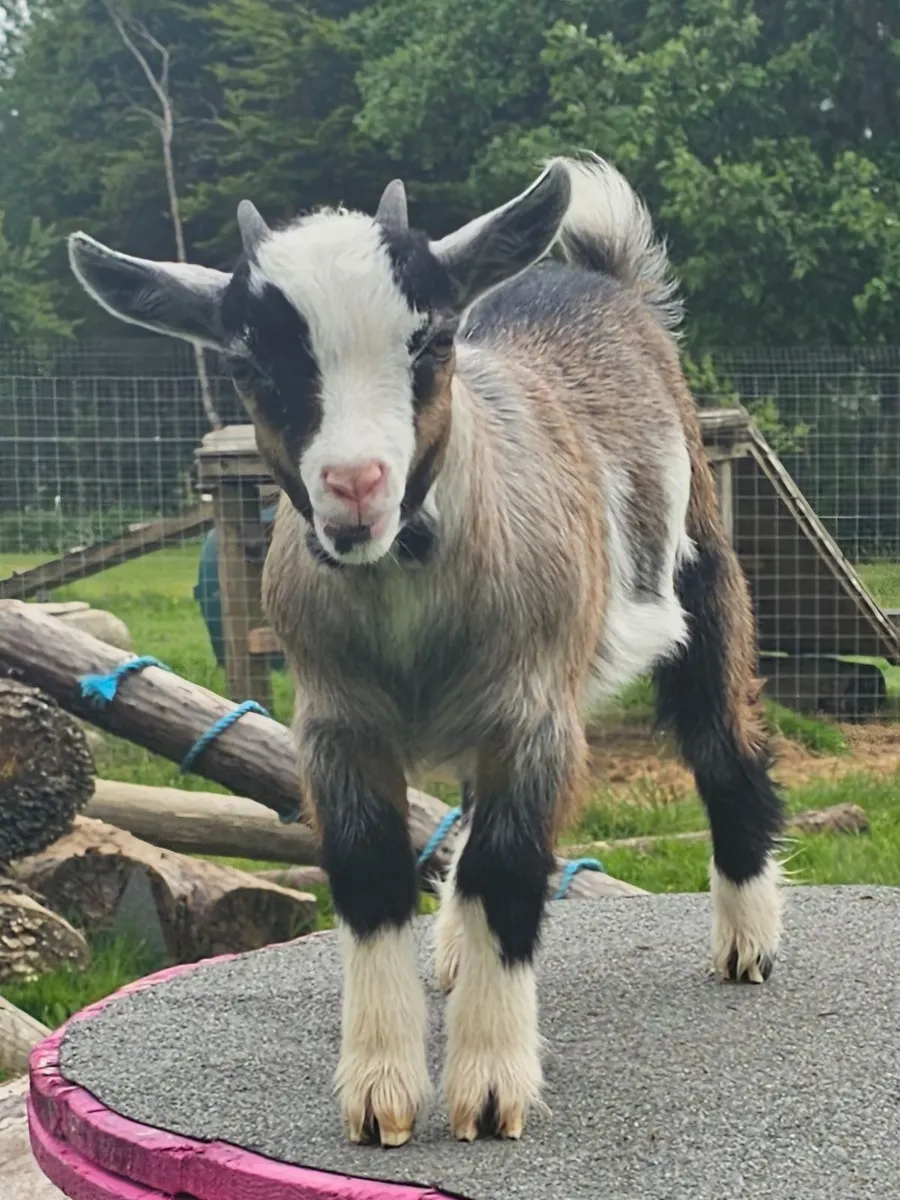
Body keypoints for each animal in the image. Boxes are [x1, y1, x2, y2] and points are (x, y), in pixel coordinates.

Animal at [68, 154, 785, 1148]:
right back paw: (452, 950)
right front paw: (381, 1095)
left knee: (722, 739)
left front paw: (488, 1088)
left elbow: (509, 870)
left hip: (703, 575)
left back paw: (748, 938)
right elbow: (372, 878)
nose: (356, 484)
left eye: (431, 342)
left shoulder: (534, 713)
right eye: (249, 361)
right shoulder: (335, 726)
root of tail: (600, 280)